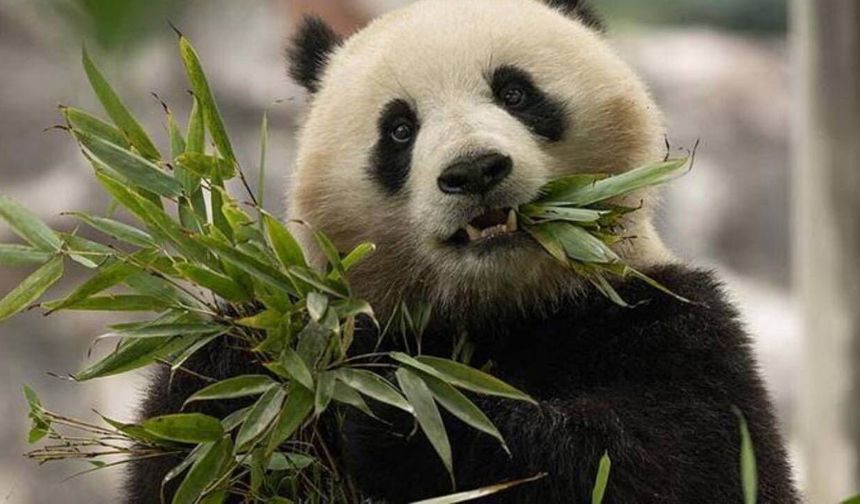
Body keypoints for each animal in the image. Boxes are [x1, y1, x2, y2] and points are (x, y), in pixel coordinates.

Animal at [126, 0, 800, 502]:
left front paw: (405, 417)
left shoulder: (667, 320)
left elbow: (676, 461)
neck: (496, 307)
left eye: (515, 92)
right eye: (399, 129)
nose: (474, 170)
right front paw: (246, 365)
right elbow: (194, 441)